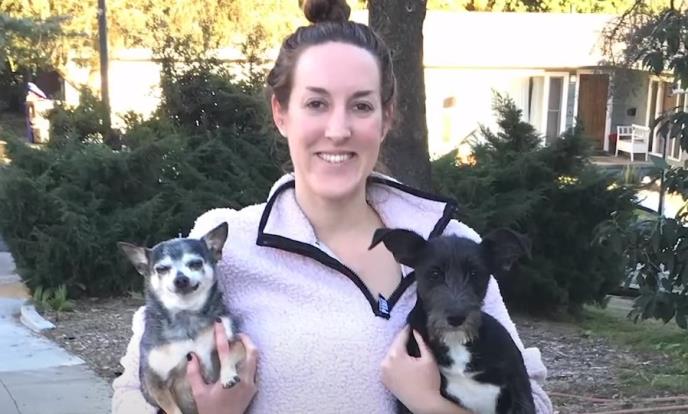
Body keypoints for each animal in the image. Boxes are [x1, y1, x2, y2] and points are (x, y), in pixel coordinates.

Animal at [118, 222, 245, 414]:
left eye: (196, 264)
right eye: (162, 269)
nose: (181, 279)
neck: (186, 314)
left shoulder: (234, 341)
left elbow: (232, 350)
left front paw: (228, 375)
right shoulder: (153, 382)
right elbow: (171, 407)